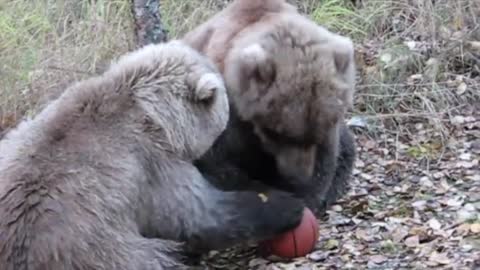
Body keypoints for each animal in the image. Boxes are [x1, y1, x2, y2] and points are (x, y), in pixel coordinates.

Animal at [0, 40, 302, 270]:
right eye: (226, 102)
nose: (239, 120)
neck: (155, 116)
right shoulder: (150, 165)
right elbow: (198, 215)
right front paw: (284, 204)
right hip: (102, 252)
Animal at [186, 0, 358, 216]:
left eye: (317, 136)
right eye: (278, 133)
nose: (297, 176)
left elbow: (329, 160)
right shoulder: (225, 117)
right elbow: (221, 165)